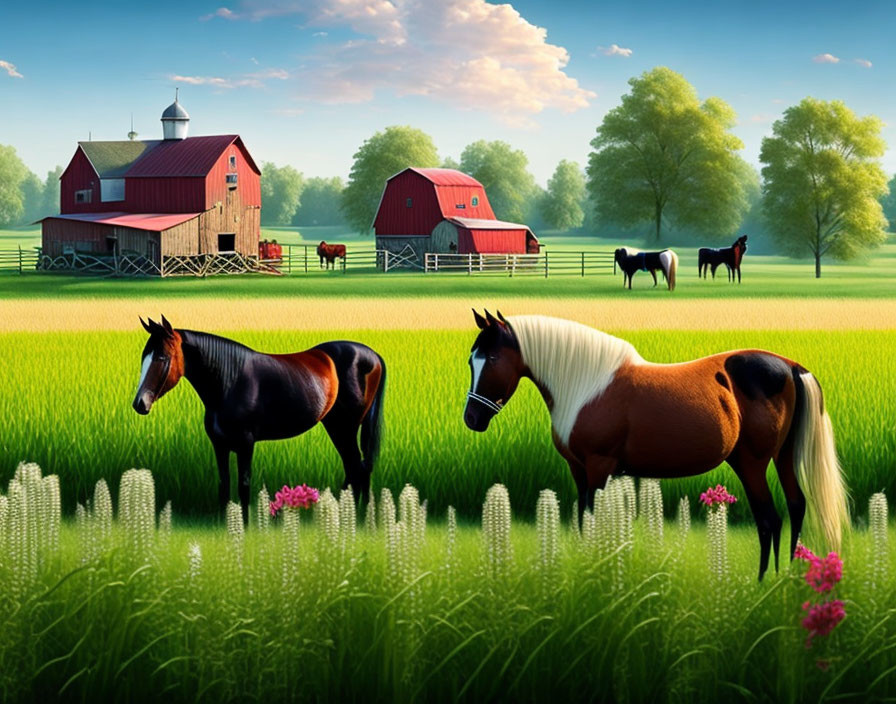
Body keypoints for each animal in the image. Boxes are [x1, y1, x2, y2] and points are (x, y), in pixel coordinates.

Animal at [133, 316, 384, 520]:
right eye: (144, 356)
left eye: (162, 357)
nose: (139, 404)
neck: (230, 381)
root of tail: (373, 356)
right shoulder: (220, 446)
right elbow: (224, 486)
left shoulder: (246, 444)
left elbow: (243, 486)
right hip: (336, 427)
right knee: (355, 467)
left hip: (346, 427)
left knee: (358, 467)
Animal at [466, 310, 852, 580]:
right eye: (471, 360)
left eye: (493, 359)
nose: (472, 418)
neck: (586, 384)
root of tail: (790, 366)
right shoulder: (578, 470)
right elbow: (582, 521)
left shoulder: (598, 466)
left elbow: (593, 519)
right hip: (783, 456)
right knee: (796, 506)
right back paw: (786, 576)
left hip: (752, 463)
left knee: (769, 519)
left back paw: (761, 583)